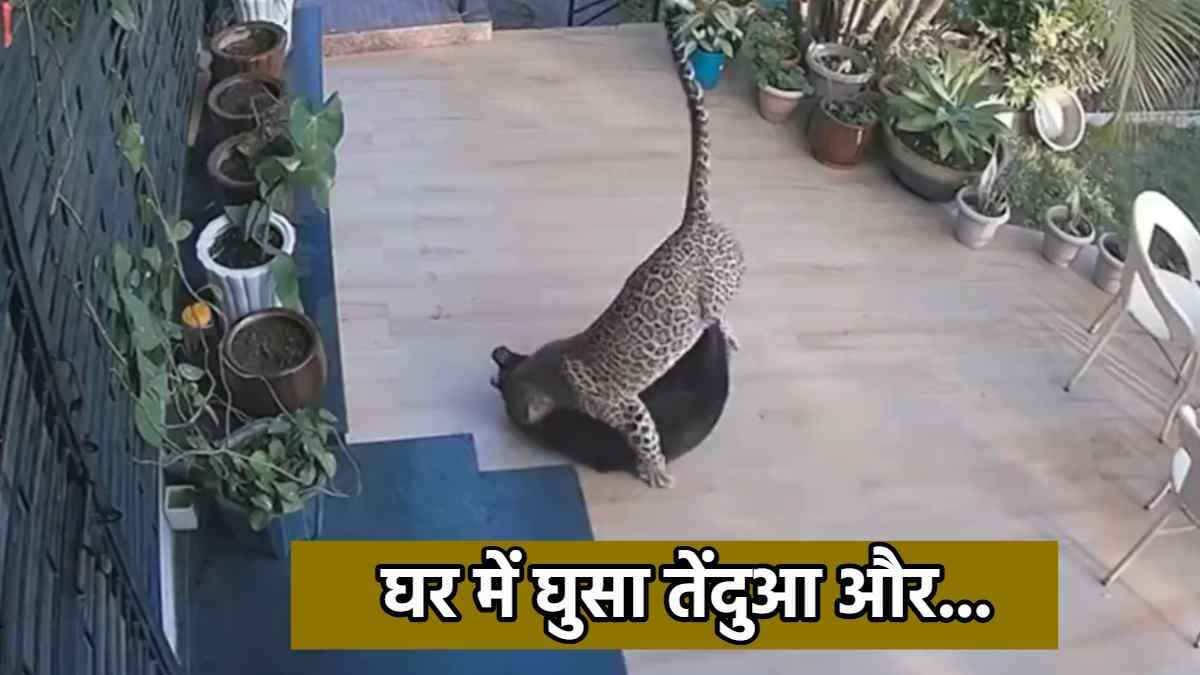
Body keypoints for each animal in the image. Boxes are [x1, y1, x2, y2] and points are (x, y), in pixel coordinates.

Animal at [493, 23, 746, 489]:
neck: (547, 372)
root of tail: (692, 222)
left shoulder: (628, 408)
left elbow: (646, 439)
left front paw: (656, 471)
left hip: (723, 282)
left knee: (720, 307)